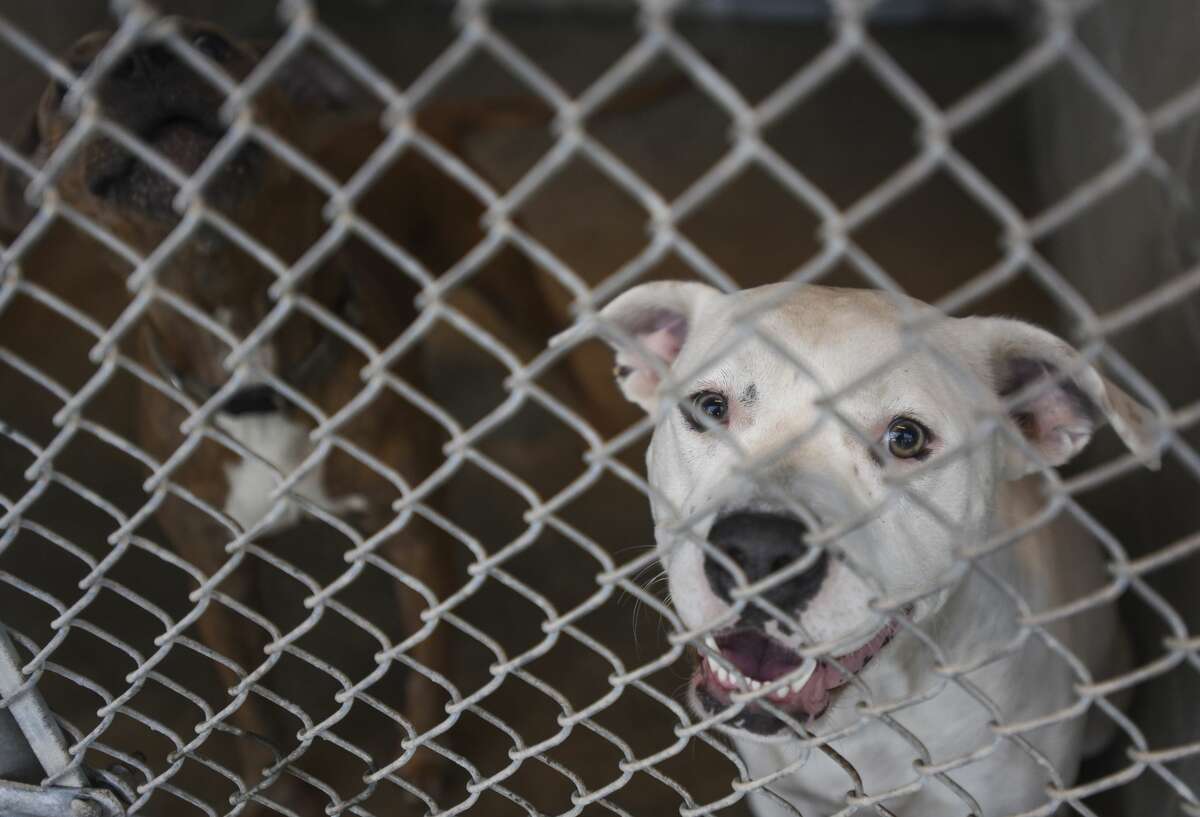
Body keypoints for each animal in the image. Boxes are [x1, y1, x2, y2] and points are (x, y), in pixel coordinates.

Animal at [0, 17, 576, 811]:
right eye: (68, 80)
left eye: (209, 41)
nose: (144, 58)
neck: (250, 359)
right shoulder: (217, 573)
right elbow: (252, 703)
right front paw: (274, 788)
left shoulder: (414, 540)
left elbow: (428, 663)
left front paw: (423, 769)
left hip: (515, 298)